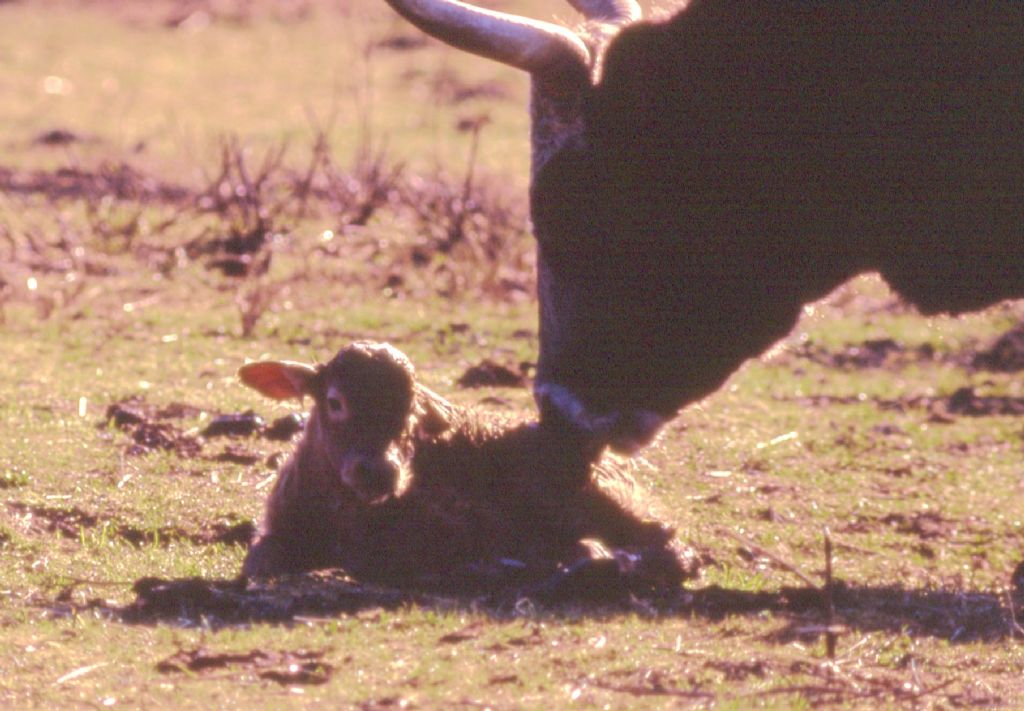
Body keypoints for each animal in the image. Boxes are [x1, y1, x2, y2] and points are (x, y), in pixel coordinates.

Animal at [235, 342, 692, 598]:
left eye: (411, 410)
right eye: (335, 401)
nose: (378, 472)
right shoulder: (277, 529)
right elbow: (260, 561)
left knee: (665, 546)